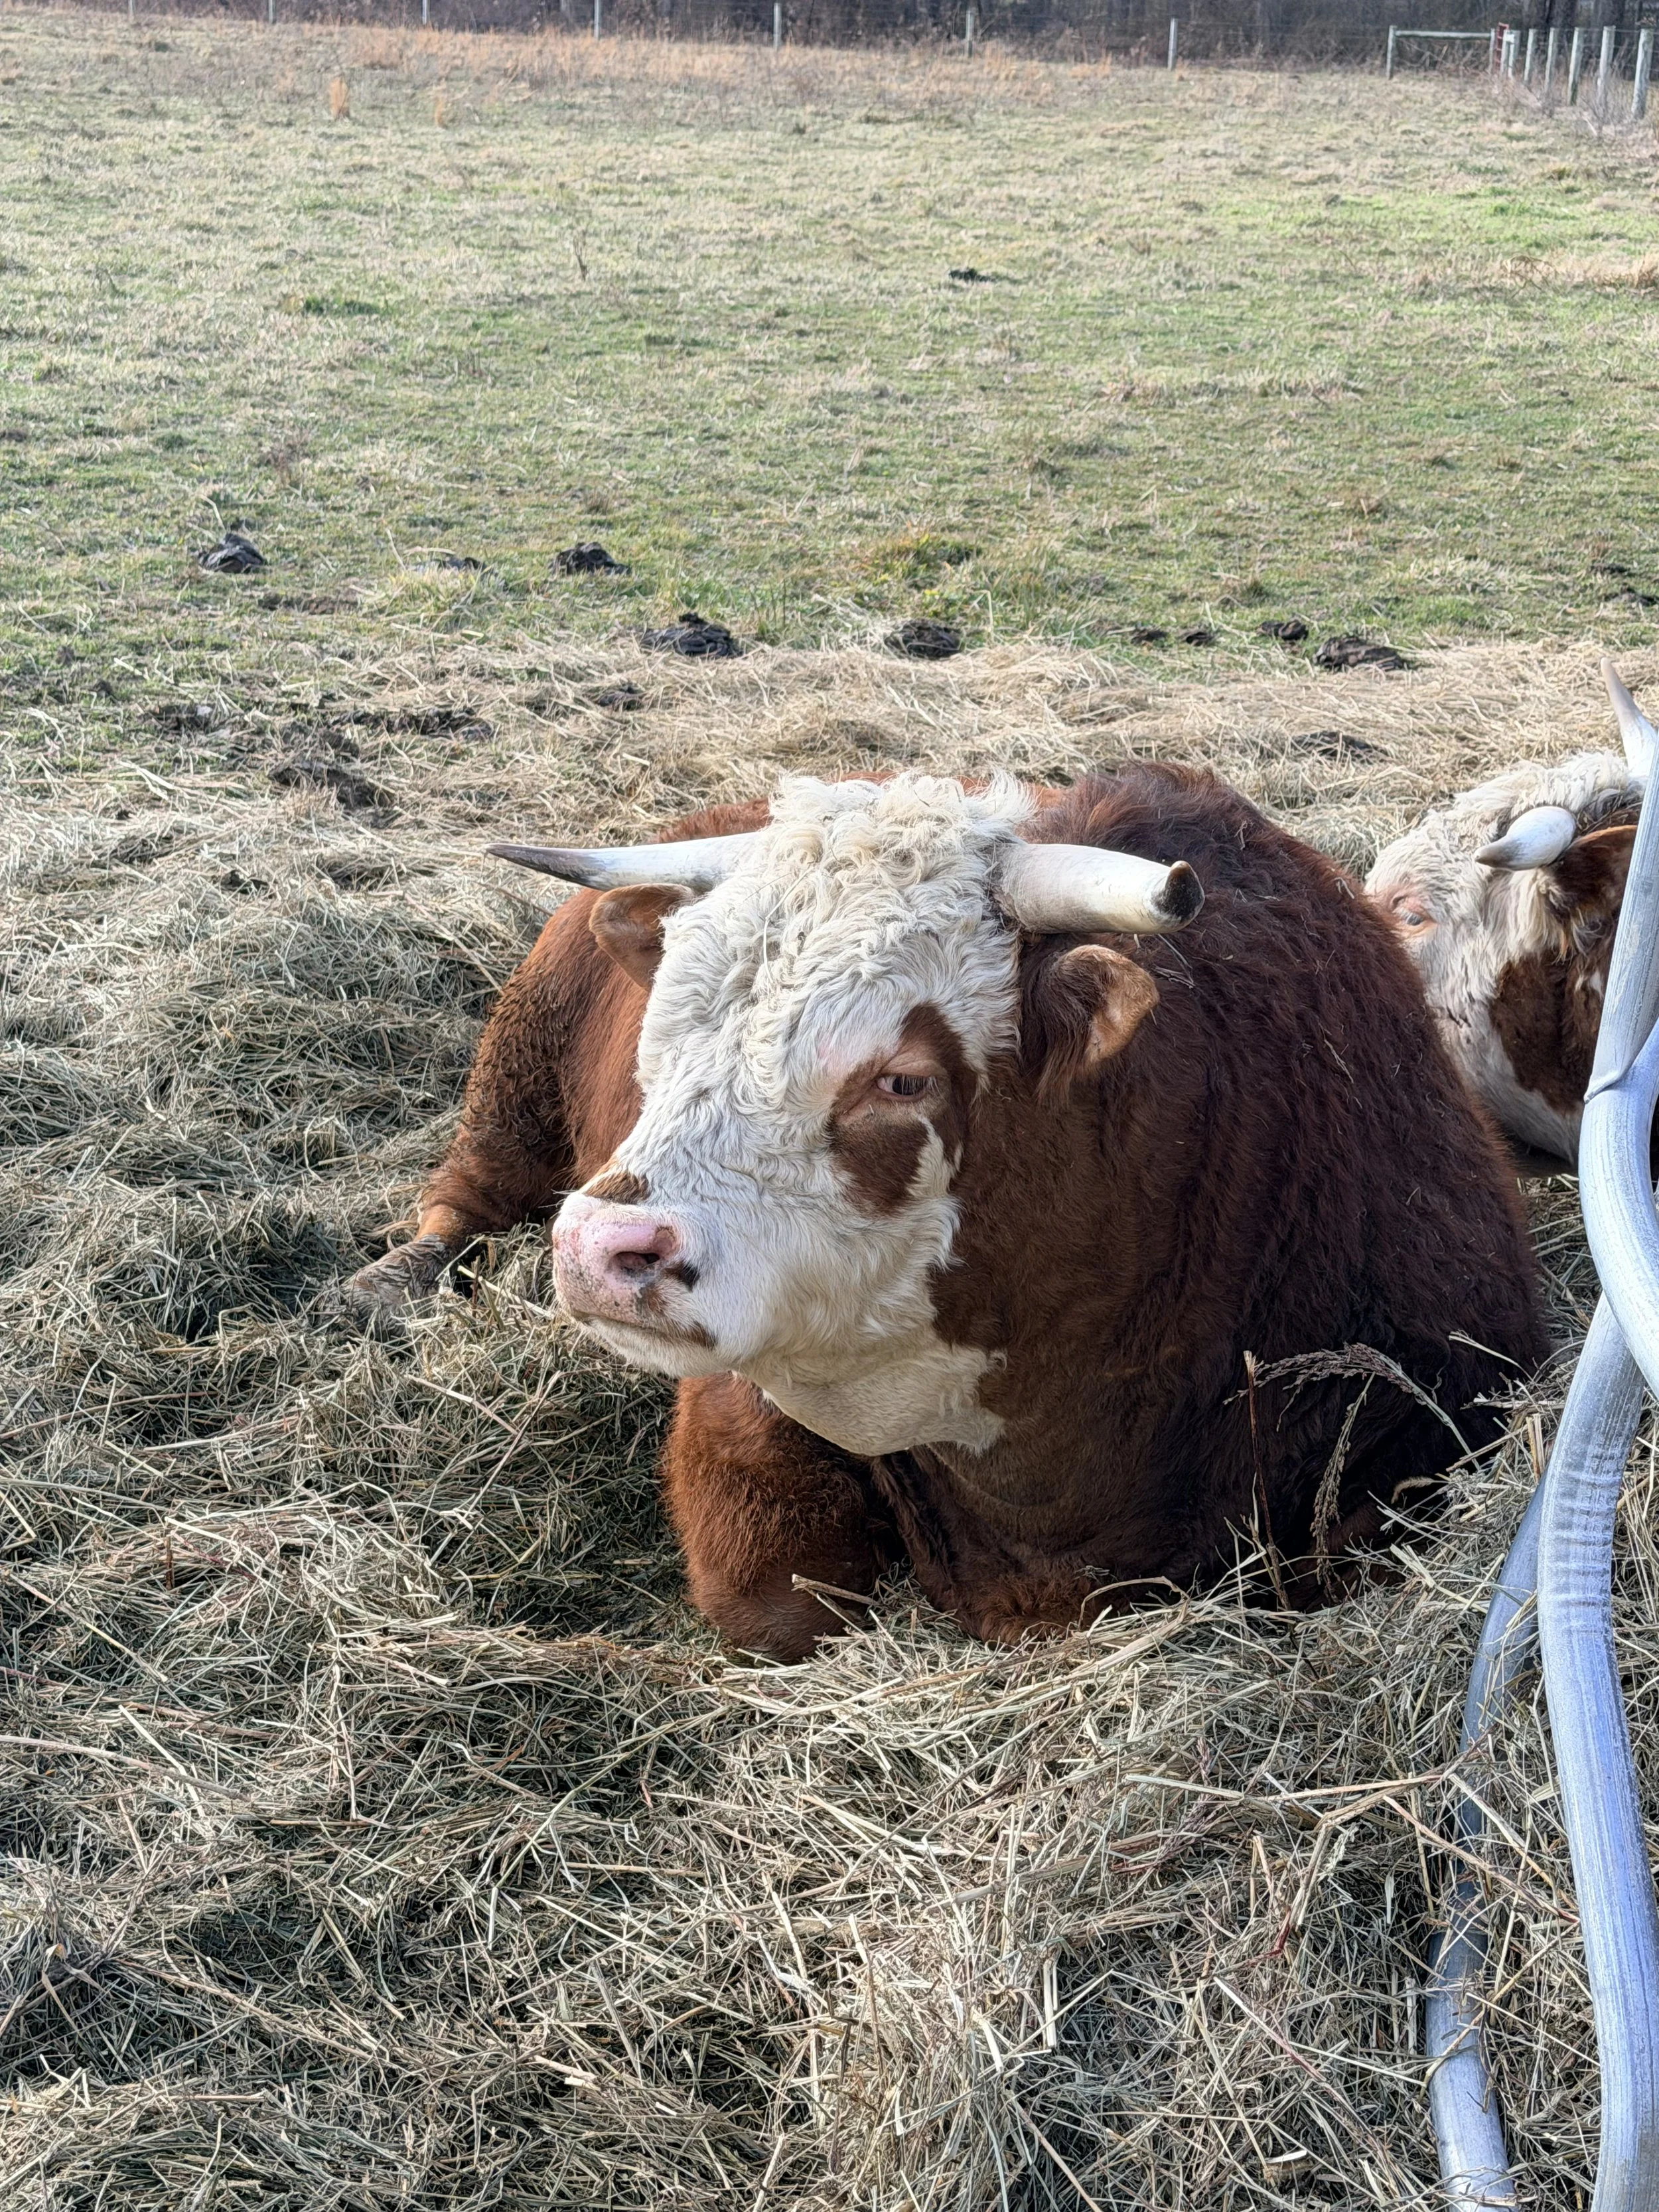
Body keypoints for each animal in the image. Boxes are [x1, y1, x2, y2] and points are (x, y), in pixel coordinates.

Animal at [344, 763, 1547, 1660]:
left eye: (904, 1077)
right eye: (664, 1029)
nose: (603, 1248)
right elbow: (787, 1605)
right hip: (520, 1065)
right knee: (468, 1188)